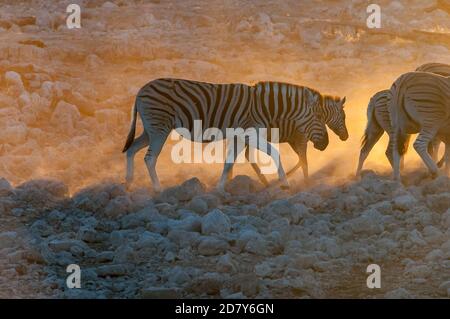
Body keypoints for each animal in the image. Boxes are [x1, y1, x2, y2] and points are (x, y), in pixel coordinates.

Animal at [121, 79, 328, 192]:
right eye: (319, 117)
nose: (326, 144)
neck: (264, 107)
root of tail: (141, 90)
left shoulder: (239, 136)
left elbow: (229, 162)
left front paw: (220, 189)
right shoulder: (249, 133)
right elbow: (274, 152)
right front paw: (285, 184)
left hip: (150, 129)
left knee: (131, 149)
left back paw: (128, 183)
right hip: (159, 128)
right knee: (149, 158)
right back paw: (158, 189)